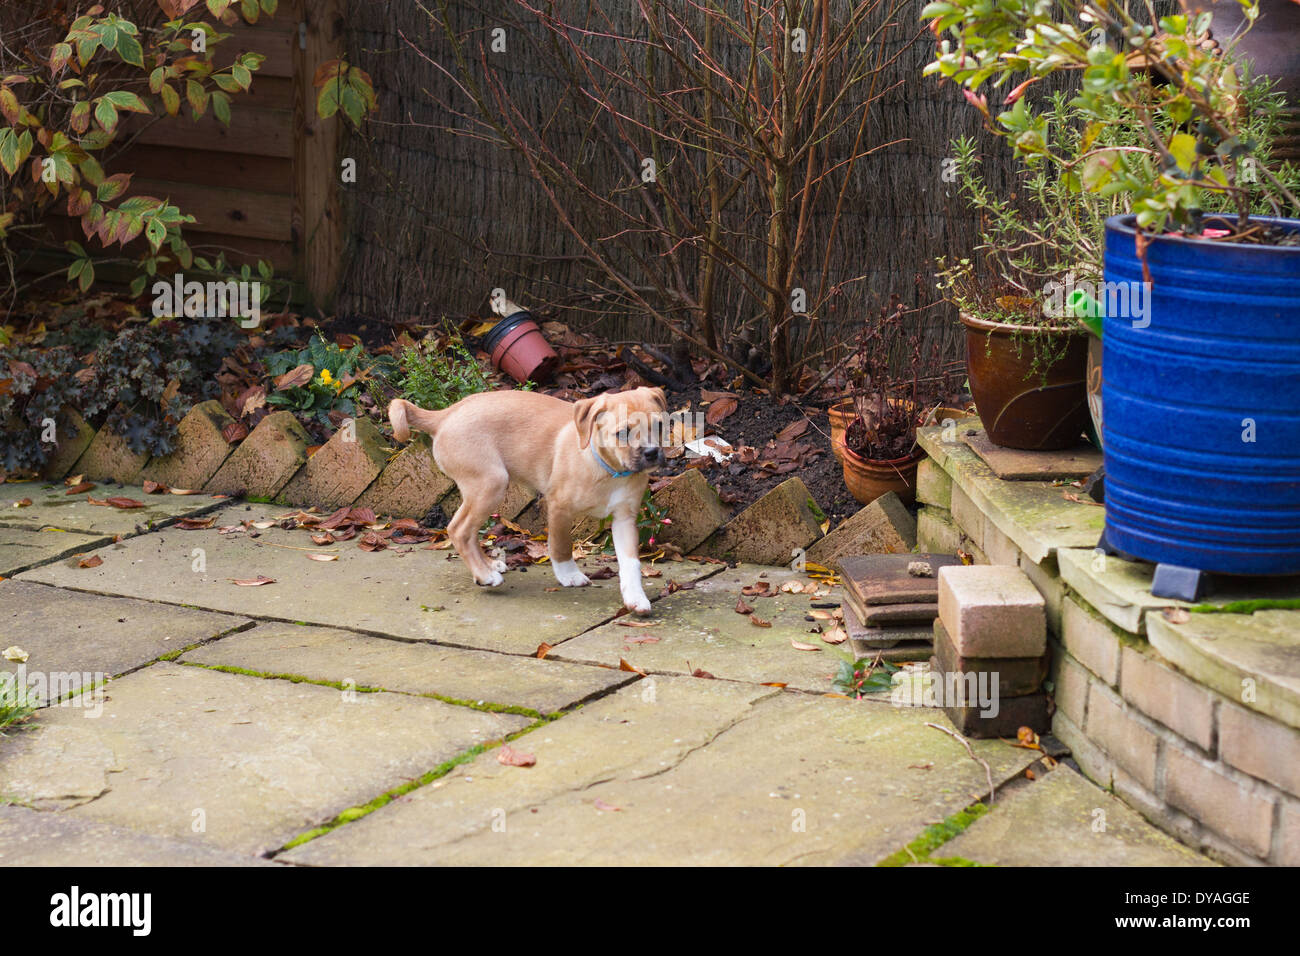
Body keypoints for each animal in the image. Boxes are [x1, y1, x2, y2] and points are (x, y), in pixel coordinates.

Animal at [390, 387, 665, 613]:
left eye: (660, 426)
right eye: (623, 432)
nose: (653, 453)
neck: (609, 470)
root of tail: (444, 415)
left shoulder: (624, 518)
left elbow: (630, 562)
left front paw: (635, 598)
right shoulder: (559, 508)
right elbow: (561, 546)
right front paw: (569, 575)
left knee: (468, 532)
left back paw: (488, 567)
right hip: (490, 484)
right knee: (459, 530)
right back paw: (485, 576)